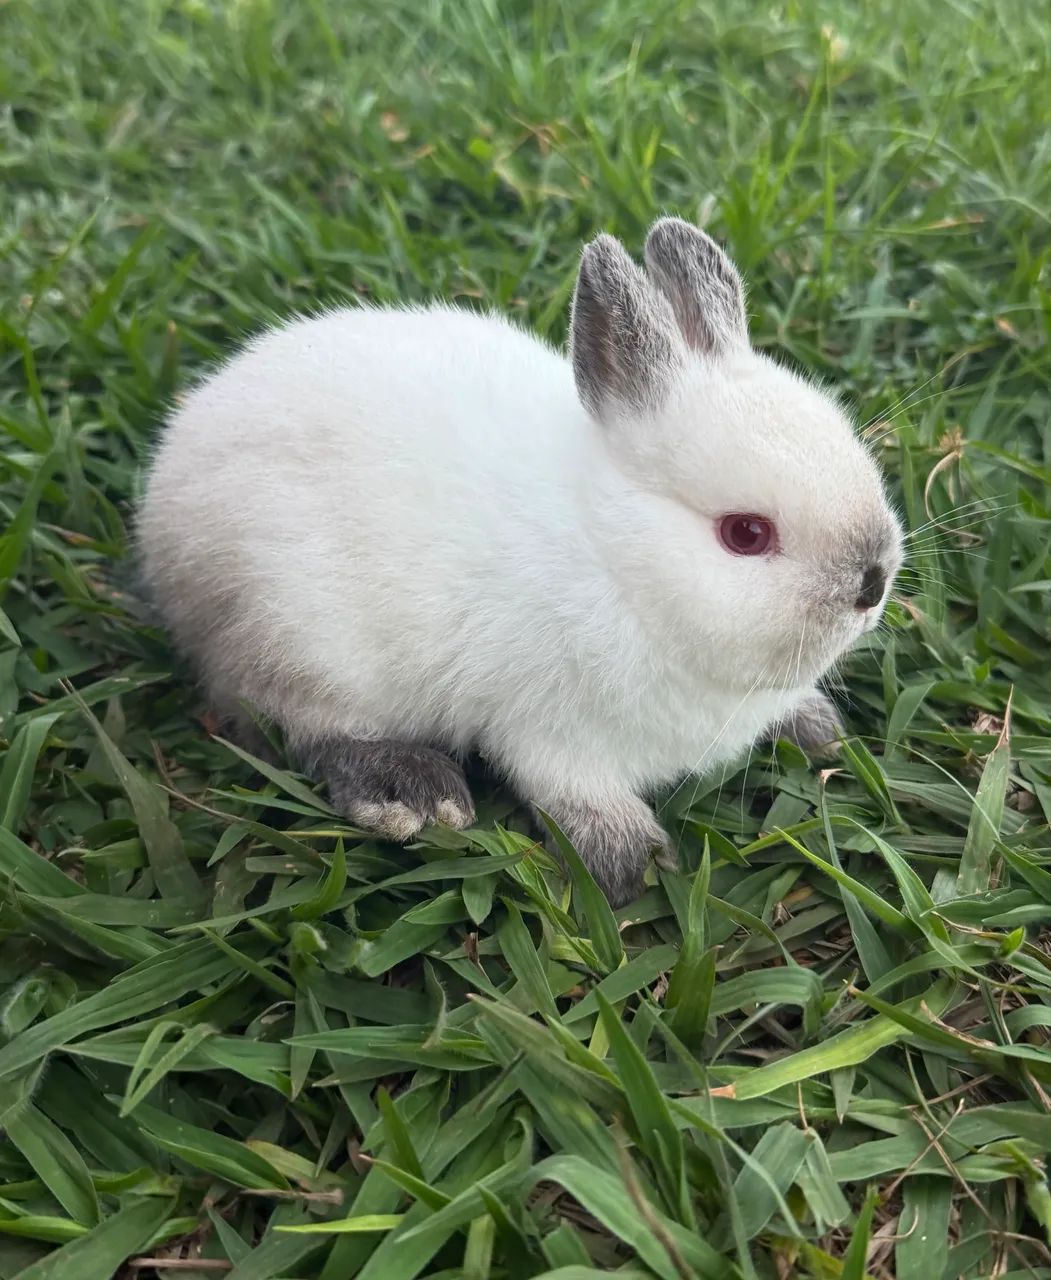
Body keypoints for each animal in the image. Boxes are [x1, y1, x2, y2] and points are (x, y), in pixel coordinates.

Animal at [137, 217, 902, 905]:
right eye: (745, 534)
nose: (871, 584)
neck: (617, 559)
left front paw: (818, 732)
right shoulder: (548, 731)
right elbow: (568, 790)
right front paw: (630, 864)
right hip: (298, 641)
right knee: (305, 726)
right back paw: (412, 792)